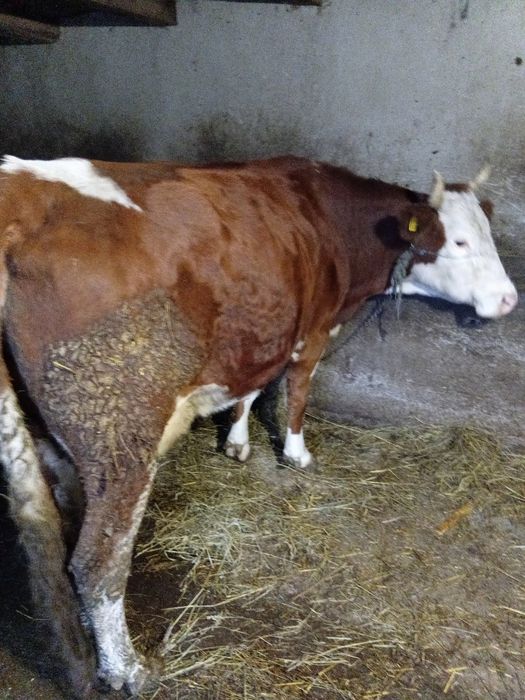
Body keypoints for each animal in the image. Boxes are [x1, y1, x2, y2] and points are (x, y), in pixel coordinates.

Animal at [0, 155, 517, 697]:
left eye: (488, 233)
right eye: (459, 241)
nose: (508, 299)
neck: (326, 216)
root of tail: (20, 190)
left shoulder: (265, 331)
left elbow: (250, 390)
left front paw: (237, 442)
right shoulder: (313, 329)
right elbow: (297, 392)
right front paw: (295, 453)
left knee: (61, 534)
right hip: (115, 423)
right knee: (98, 562)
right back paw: (128, 669)